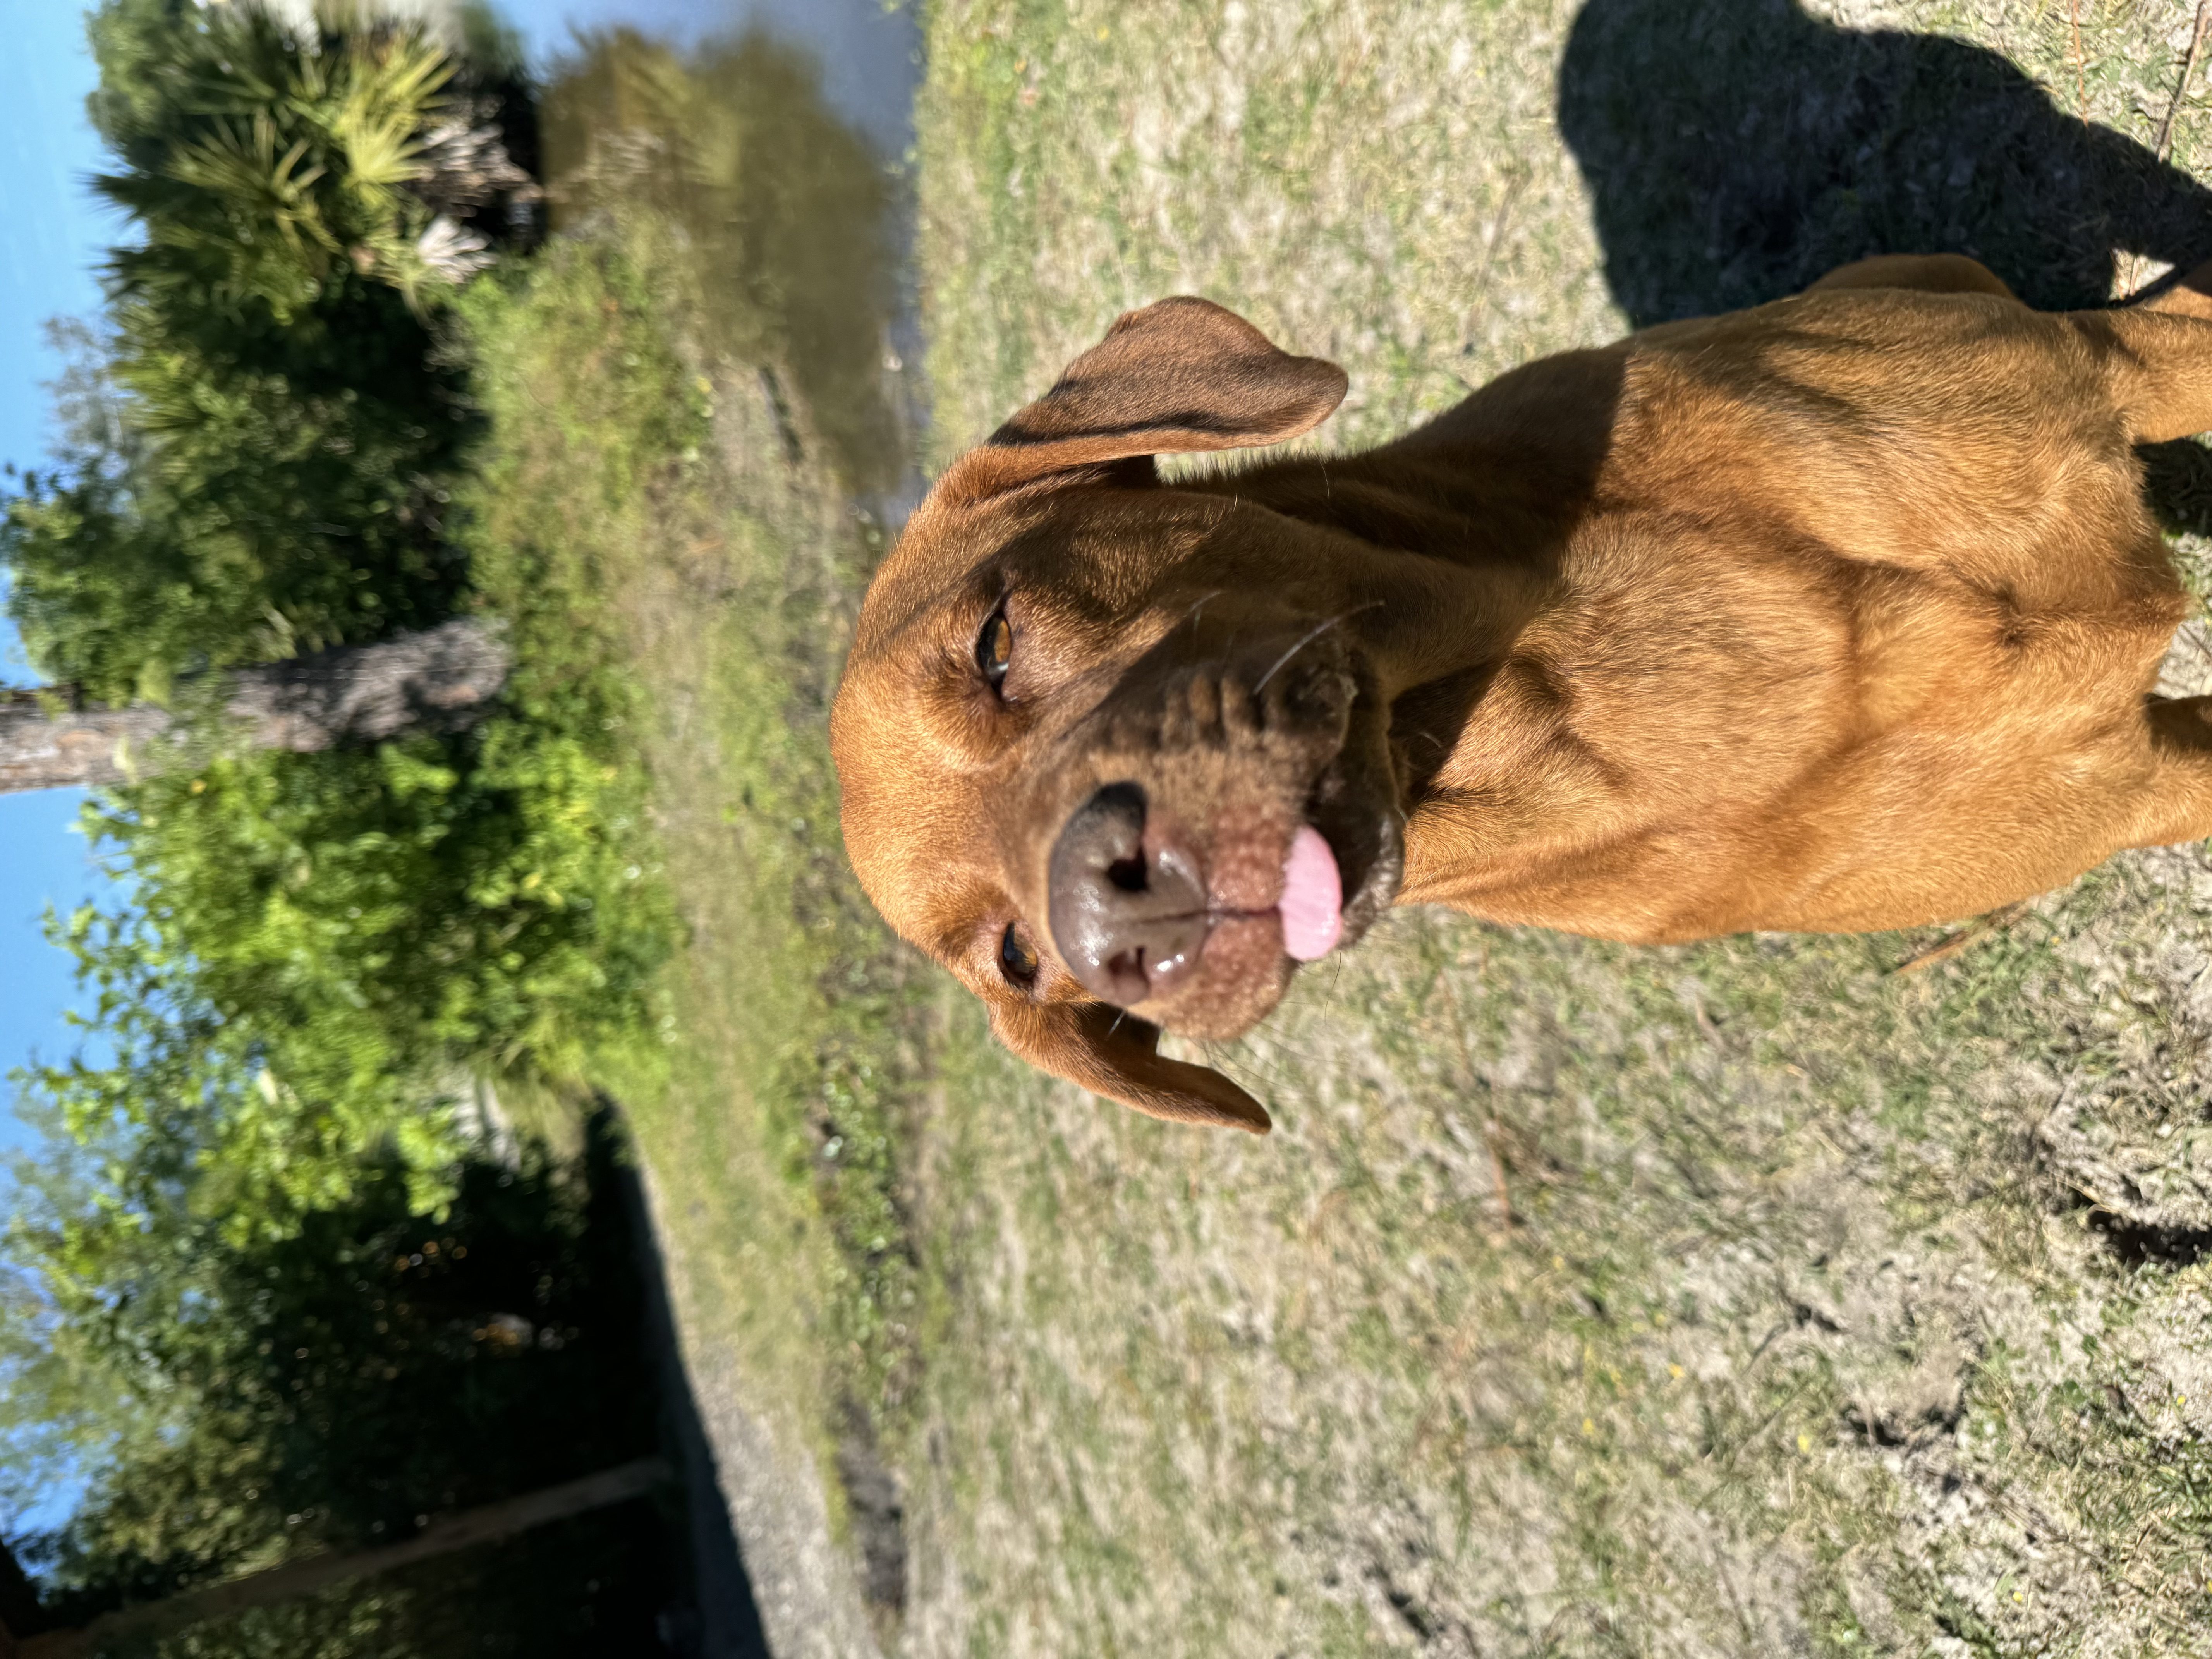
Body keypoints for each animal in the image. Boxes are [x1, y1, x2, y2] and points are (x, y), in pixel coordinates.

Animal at [831, 253, 2212, 1141]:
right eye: (1017, 961)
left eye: (996, 642)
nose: (1109, 918)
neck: (1564, 669)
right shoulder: (2137, 796)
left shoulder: (2117, 364)